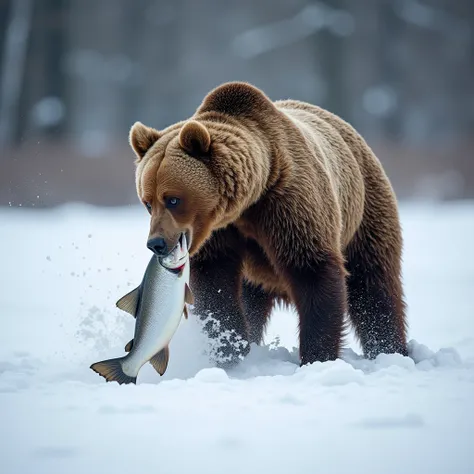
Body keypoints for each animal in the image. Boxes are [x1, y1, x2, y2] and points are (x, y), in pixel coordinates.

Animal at [129, 81, 408, 366]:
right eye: (147, 202)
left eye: (173, 199)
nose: (156, 243)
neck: (249, 201)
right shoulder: (220, 233)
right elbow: (215, 286)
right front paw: (229, 348)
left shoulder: (289, 205)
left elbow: (314, 270)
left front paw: (317, 356)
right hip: (258, 272)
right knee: (252, 299)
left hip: (364, 211)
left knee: (373, 286)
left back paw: (389, 349)